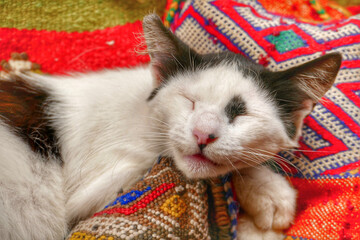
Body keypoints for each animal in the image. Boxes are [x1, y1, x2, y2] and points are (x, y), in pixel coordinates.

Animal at [0, 14, 340, 239]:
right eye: (189, 101)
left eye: (240, 113)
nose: (203, 134)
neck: (146, 117)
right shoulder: (89, 193)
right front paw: (264, 187)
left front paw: (265, 189)